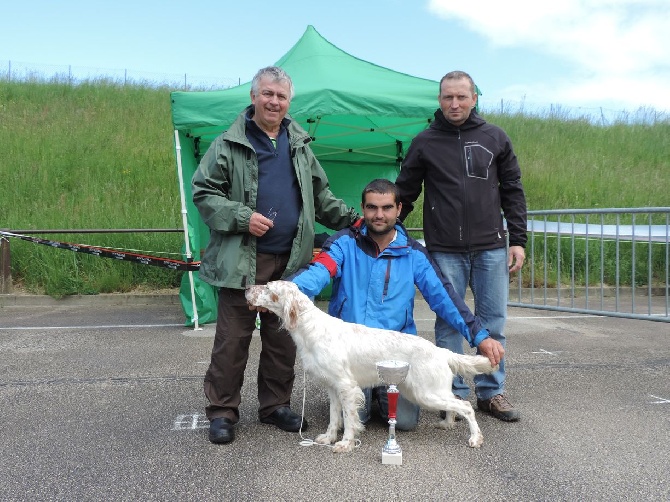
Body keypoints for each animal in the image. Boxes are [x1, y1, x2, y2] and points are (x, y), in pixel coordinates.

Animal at [247, 280, 498, 452]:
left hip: (426, 393)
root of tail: (440, 351)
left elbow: (349, 419)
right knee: (455, 404)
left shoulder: (347, 386)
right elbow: (334, 417)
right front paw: (329, 438)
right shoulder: (333, 388)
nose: (247, 288)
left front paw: (345, 443)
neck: (310, 328)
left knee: (465, 406)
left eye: (268, 288)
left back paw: (475, 438)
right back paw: (446, 424)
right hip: (425, 392)